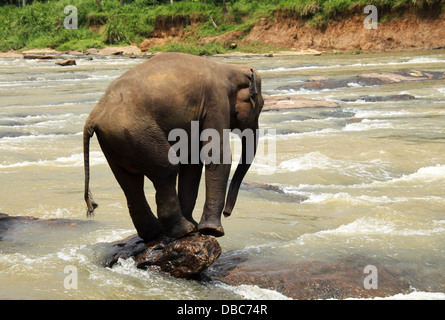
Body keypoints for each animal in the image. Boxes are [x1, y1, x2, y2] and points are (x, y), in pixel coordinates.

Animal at [83, 53, 262, 242]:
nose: (228, 213)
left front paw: (199, 227)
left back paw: (155, 234)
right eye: (260, 107)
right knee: (165, 171)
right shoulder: (216, 100)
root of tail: (93, 117)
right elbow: (216, 154)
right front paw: (212, 231)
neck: (229, 67)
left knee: (130, 182)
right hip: (136, 133)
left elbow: (192, 163)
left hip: (115, 142)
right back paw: (184, 231)